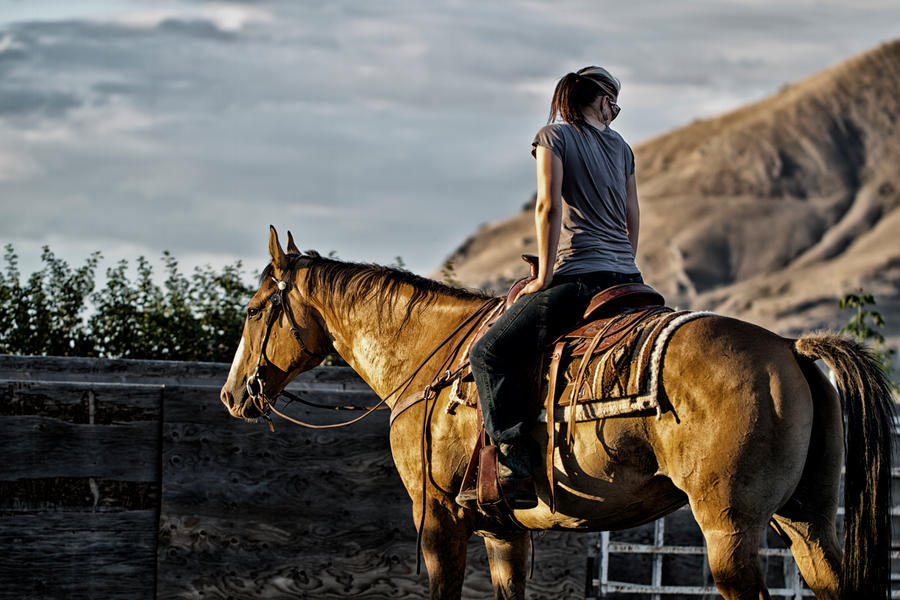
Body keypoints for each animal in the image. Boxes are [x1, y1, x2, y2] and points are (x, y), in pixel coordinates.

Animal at [218, 227, 892, 596]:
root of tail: (789, 348)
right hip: (808, 522)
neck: (431, 360)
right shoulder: (505, 531)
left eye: (253, 310)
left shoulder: (438, 519)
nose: (231, 395)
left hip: (730, 529)